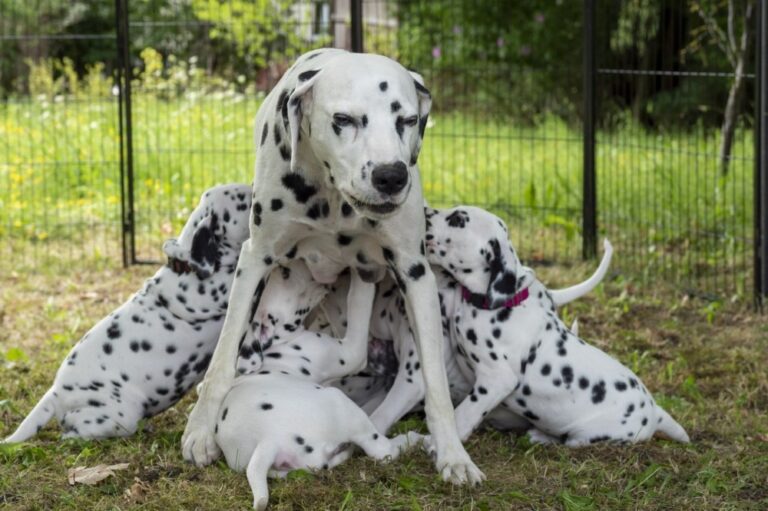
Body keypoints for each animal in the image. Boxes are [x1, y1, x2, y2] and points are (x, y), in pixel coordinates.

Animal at [4, 185, 254, 444]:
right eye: (244, 200)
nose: (253, 186)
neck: (188, 268)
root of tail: (54, 395)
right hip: (118, 416)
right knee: (75, 433)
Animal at [184, 48, 484, 484]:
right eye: (344, 119)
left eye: (408, 120)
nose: (391, 176)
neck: (333, 199)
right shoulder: (255, 259)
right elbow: (222, 360)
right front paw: (201, 430)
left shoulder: (414, 272)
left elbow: (437, 384)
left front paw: (453, 456)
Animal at [426, 206, 688, 446]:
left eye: (458, 219)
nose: (425, 211)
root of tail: (655, 410)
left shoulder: (496, 380)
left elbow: (464, 414)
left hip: (589, 435)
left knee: (569, 440)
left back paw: (542, 436)